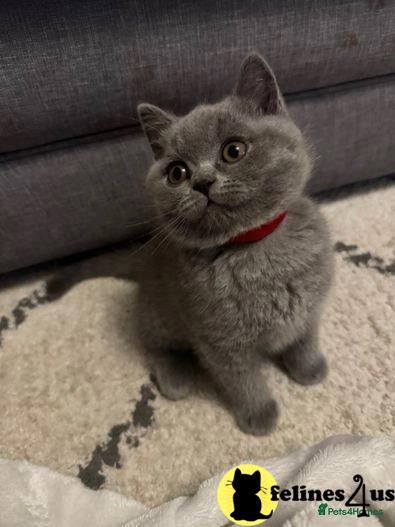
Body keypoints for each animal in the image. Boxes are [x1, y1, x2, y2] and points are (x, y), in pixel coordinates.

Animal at [48, 53, 334, 436]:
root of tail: (145, 261)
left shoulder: (310, 307)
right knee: (154, 344)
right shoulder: (219, 340)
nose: (201, 181)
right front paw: (259, 414)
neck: (254, 249)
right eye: (177, 172)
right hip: (159, 315)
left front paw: (309, 369)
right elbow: (242, 379)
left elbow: (305, 338)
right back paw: (175, 379)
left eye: (233, 151)